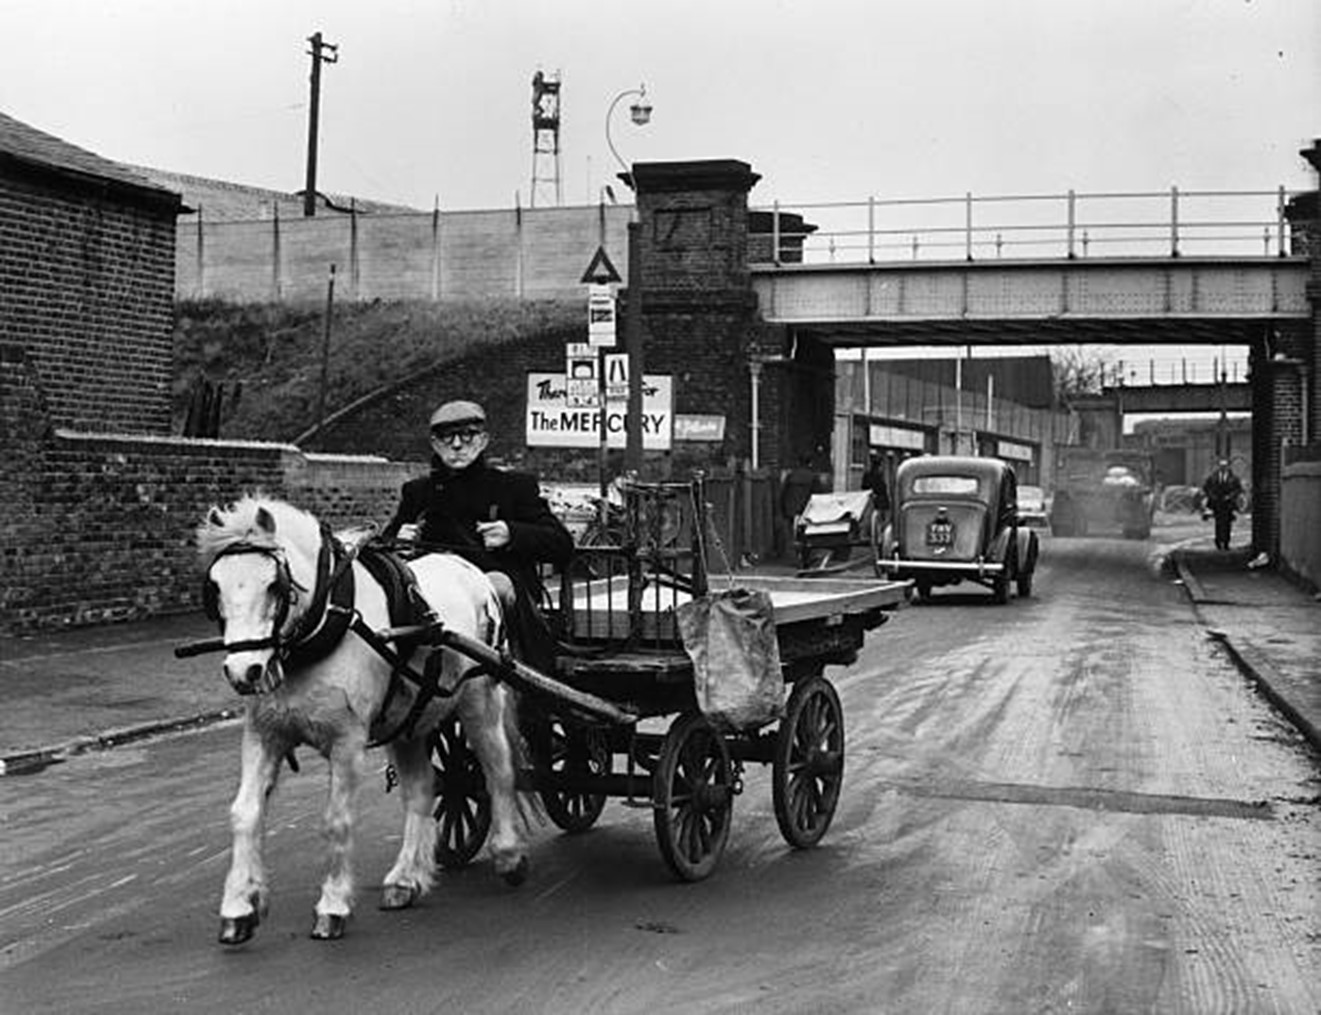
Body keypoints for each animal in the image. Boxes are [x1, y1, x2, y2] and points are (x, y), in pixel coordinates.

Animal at [195, 496, 525, 940]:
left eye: (274, 585)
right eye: (215, 587)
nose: (244, 671)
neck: (322, 625)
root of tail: (472, 570)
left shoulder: (346, 741)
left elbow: (336, 821)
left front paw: (332, 905)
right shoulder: (265, 733)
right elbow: (244, 812)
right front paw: (239, 905)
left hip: (479, 700)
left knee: (498, 770)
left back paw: (509, 854)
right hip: (409, 722)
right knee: (422, 789)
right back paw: (405, 879)